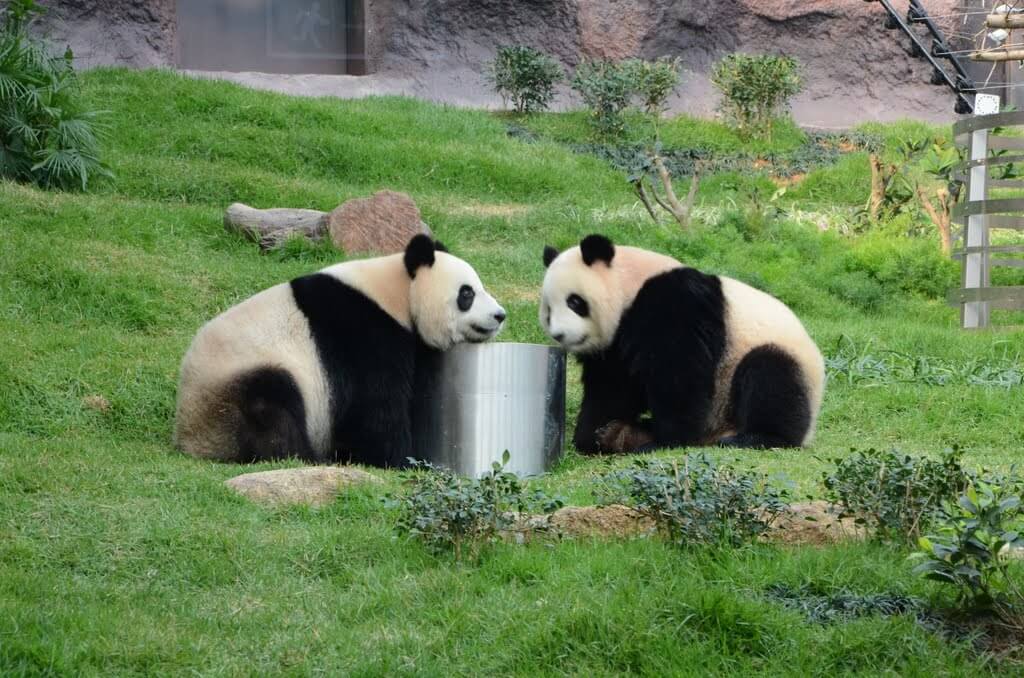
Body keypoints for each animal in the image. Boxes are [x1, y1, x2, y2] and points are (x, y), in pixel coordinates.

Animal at [174, 235, 506, 467]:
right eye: (467, 294)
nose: (500, 315)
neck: (397, 293)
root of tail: (191, 441)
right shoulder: (363, 332)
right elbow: (374, 408)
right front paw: (401, 460)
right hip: (237, 384)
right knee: (272, 408)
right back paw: (305, 458)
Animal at [539, 234, 825, 453]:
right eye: (549, 311)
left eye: (575, 302)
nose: (560, 335)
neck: (631, 283)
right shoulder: (613, 345)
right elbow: (612, 385)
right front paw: (593, 433)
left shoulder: (674, 303)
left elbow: (678, 372)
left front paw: (667, 439)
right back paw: (625, 434)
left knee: (770, 375)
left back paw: (758, 437)